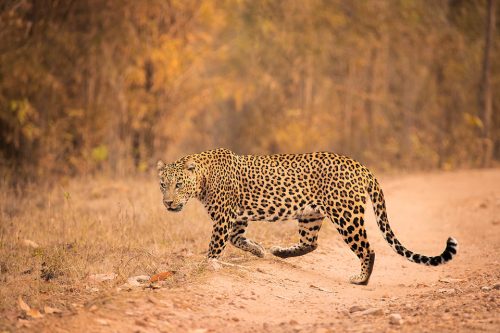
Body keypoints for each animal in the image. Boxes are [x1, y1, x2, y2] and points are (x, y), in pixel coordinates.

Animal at [158, 149, 458, 284]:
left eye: (178, 185)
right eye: (163, 185)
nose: (168, 203)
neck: (202, 178)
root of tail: (359, 165)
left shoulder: (223, 219)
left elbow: (215, 247)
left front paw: (206, 266)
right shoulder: (237, 219)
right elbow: (237, 239)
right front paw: (258, 250)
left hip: (345, 215)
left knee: (368, 249)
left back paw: (361, 279)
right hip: (310, 214)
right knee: (311, 243)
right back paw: (279, 252)